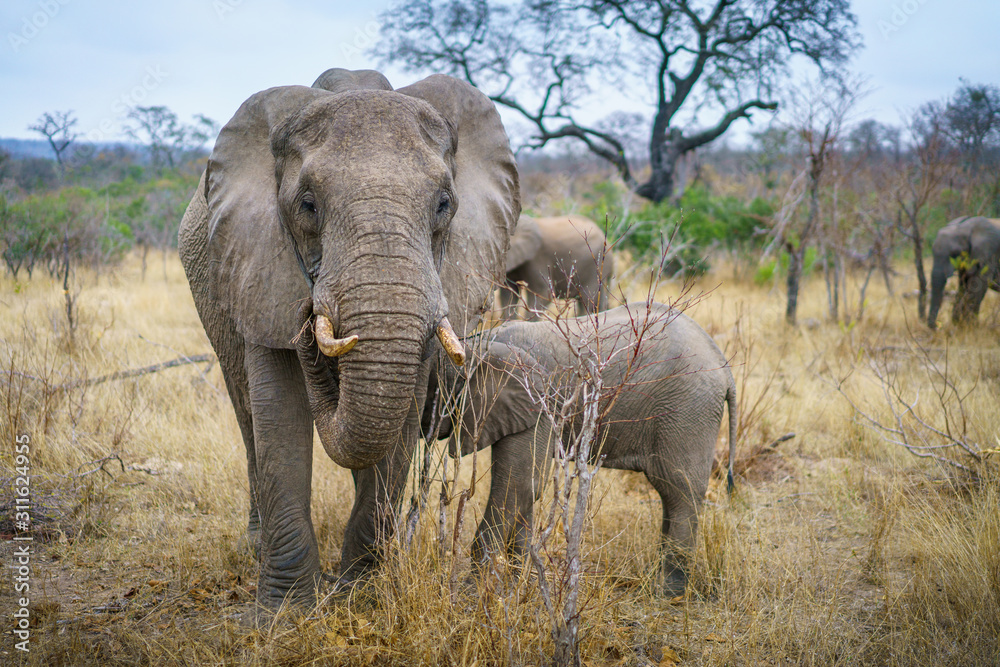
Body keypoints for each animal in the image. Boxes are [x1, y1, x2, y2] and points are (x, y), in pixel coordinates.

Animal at [177, 68, 520, 609]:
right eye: (308, 205)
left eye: (444, 205)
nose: (307, 314)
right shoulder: (259, 265)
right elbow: (279, 415)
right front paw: (286, 611)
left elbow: (400, 420)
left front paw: (361, 594)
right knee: (247, 414)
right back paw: (256, 547)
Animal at [444, 303, 737, 595]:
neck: (475, 343)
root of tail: (725, 369)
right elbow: (525, 489)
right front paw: (515, 588)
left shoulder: (537, 403)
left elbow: (519, 485)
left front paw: (472, 593)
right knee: (671, 495)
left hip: (688, 411)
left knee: (680, 490)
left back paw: (668, 593)